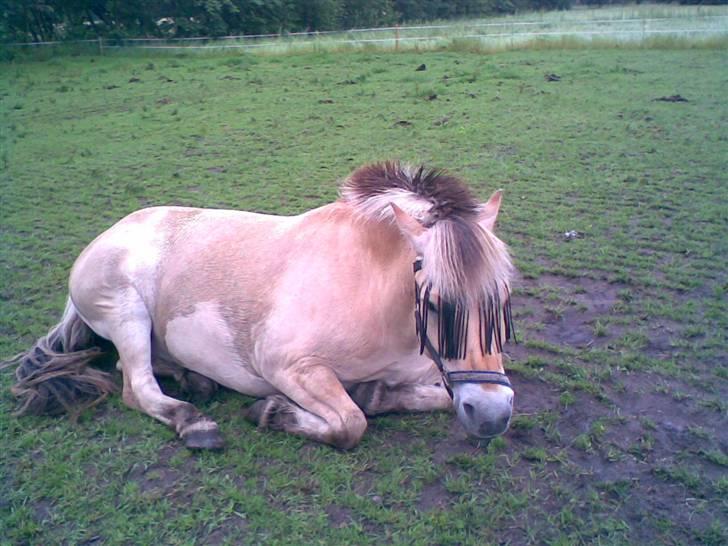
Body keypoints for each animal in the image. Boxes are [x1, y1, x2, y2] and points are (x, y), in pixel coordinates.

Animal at [5, 159, 516, 448]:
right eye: (435, 303)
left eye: (504, 300)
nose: (492, 415)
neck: (372, 295)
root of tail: (106, 235)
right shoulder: (287, 366)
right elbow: (351, 424)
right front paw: (274, 413)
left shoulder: (438, 373)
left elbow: (439, 399)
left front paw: (377, 393)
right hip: (126, 313)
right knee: (136, 385)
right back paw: (195, 422)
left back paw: (194, 380)